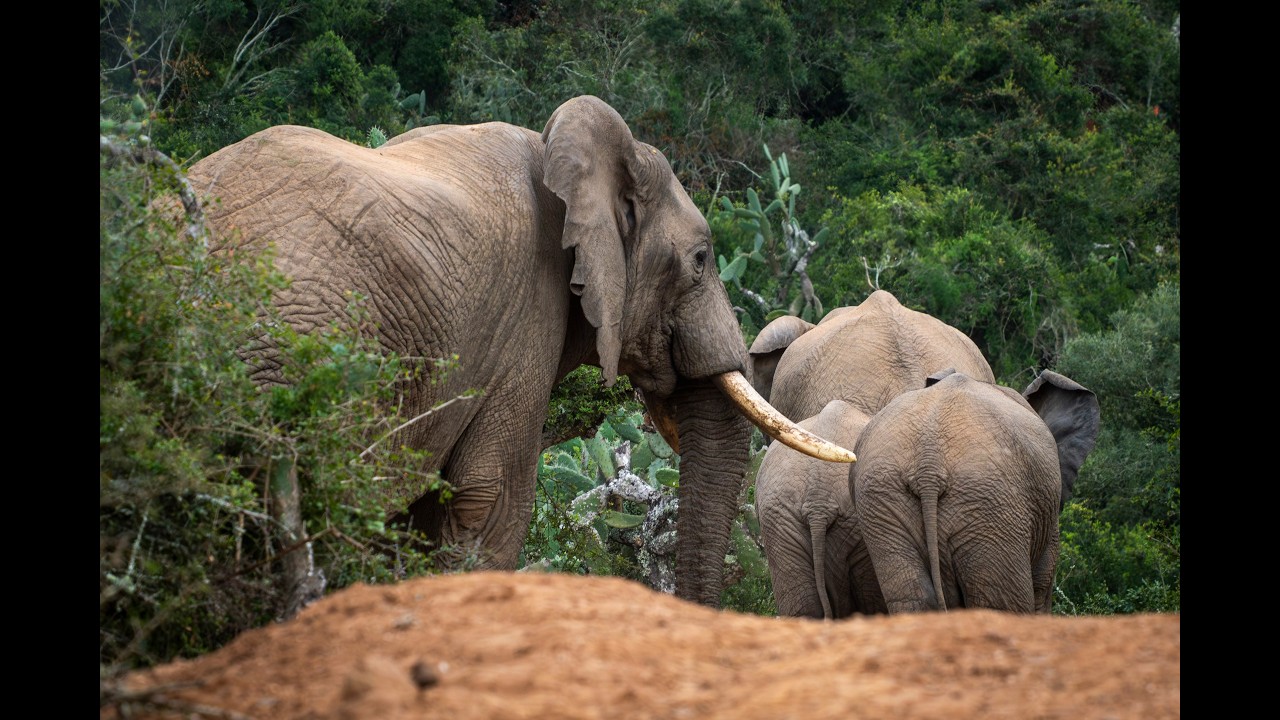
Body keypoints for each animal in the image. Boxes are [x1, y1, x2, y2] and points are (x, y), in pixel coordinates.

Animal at [850, 369, 1101, 614]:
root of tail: (928, 463)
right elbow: (1042, 586)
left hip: (881, 497)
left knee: (912, 600)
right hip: (991, 506)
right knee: (1000, 603)